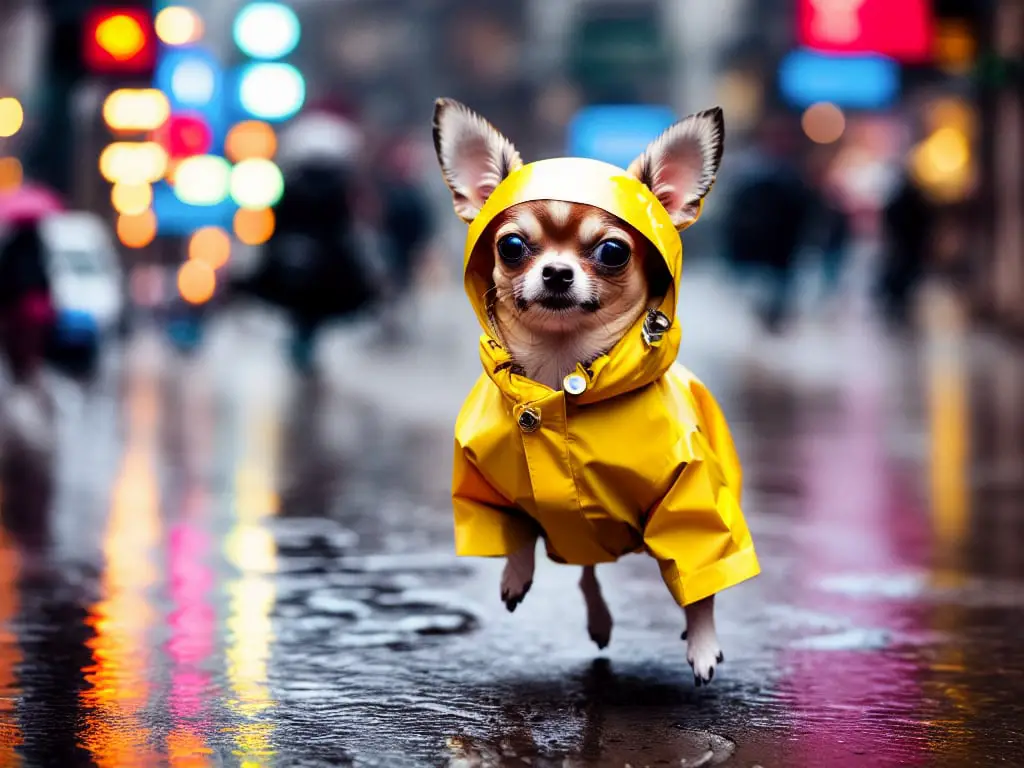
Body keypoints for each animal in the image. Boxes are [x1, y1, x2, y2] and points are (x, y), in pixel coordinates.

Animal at [434, 97, 761, 684]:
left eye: (612, 252)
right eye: (511, 246)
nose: (557, 272)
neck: (561, 372)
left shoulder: (694, 499)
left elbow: (701, 582)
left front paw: (703, 643)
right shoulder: (483, 487)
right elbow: (516, 532)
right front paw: (515, 573)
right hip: (577, 536)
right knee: (586, 564)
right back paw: (598, 619)